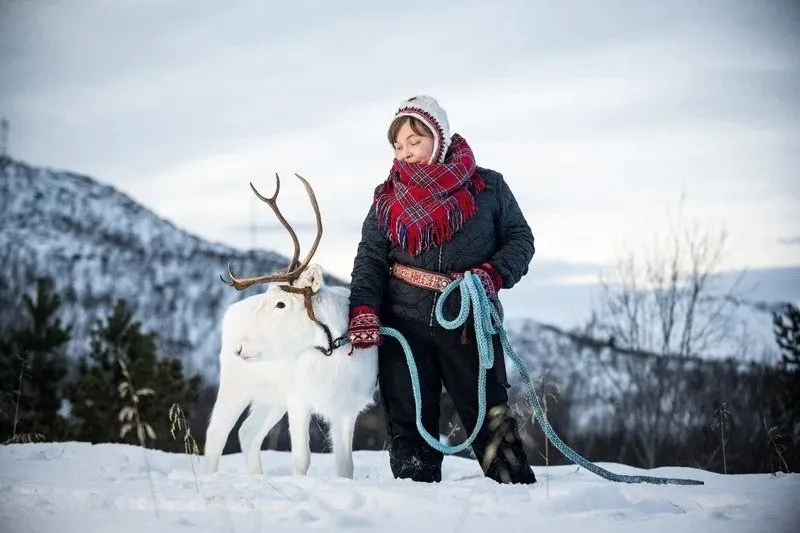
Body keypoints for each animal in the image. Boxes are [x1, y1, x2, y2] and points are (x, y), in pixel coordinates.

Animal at [203, 173, 378, 479]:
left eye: (281, 304)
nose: (241, 346)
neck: (332, 348)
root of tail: (230, 312)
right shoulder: (299, 399)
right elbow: (301, 460)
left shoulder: (346, 408)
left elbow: (346, 466)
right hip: (235, 386)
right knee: (216, 435)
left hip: (271, 398)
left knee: (248, 432)